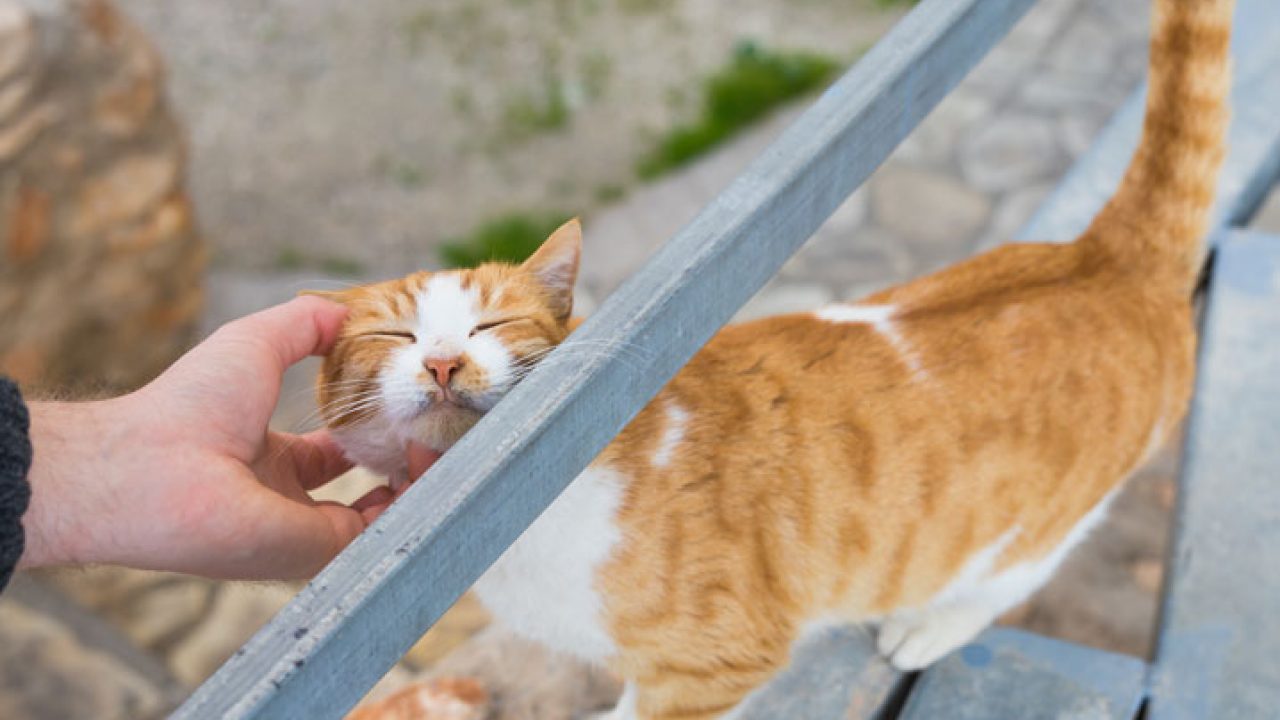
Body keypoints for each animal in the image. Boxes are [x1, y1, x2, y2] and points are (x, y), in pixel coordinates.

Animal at [309, 1, 1228, 712]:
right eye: (396, 336)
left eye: (491, 325)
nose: (441, 362)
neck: (509, 524)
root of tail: (1105, 253)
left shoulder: (713, 665)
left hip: (1038, 527)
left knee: (1013, 574)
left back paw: (926, 625)